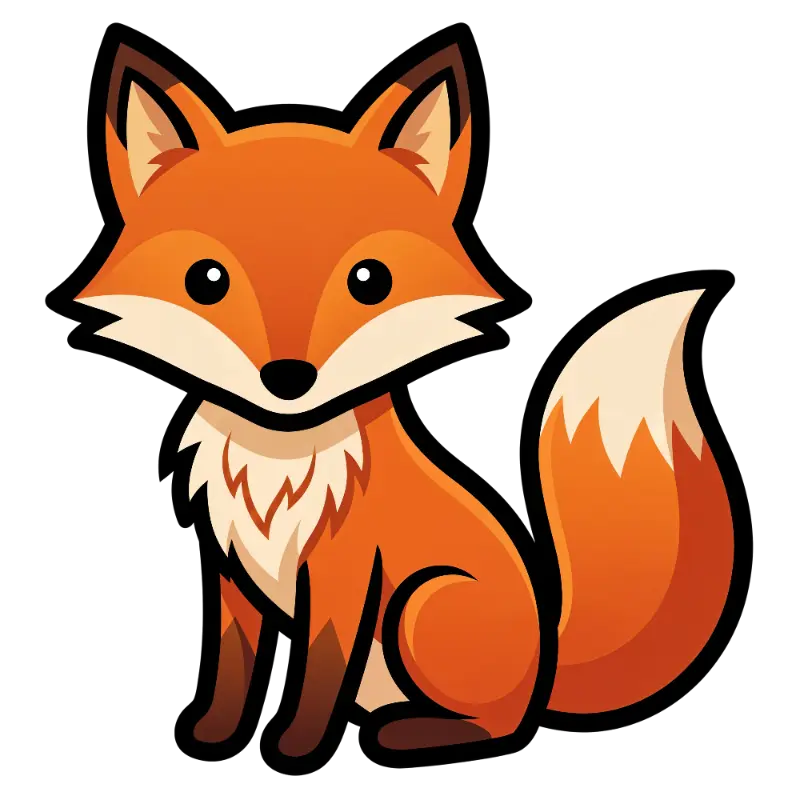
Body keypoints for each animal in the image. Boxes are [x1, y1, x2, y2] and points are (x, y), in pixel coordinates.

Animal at [70, 38, 735, 758]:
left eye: (370, 280)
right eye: (206, 280)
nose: (287, 378)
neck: (279, 458)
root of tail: (545, 666)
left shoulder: (347, 572)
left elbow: (320, 672)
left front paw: (297, 747)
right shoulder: (230, 570)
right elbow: (234, 666)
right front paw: (214, 735)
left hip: (419, 604)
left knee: (496, 725)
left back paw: (410, 733)